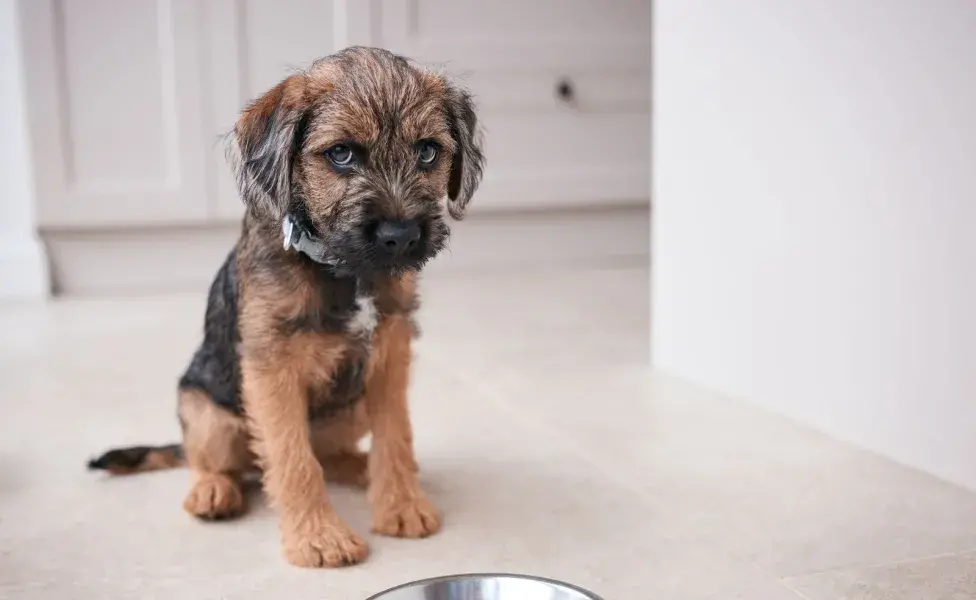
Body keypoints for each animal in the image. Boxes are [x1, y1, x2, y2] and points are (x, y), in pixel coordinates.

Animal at [87, 47, 484, 568]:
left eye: (428, 151)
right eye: (341, 153)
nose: (400, 236)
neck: (343, 271)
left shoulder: (390, 353)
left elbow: (395, 434)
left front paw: (401, 504)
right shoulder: (272, 370)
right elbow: (293, 458)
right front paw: (319, 537)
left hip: (351, 407)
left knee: (328, 454)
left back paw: (361, 466)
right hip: (206, 410)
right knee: (211, 460)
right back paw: (212, 491)